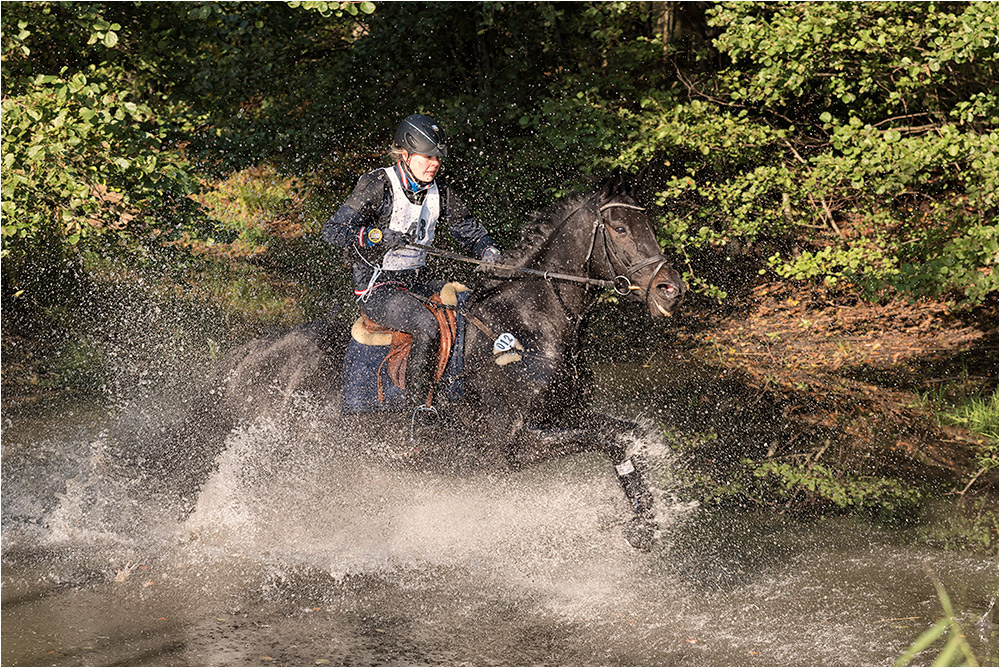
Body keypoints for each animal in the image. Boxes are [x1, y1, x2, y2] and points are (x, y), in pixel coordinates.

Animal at [143, 175, 688, 552]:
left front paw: (646, 523)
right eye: (620, 228)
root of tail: (250, 356)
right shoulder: (514, 444)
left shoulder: (566, 415)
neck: (530, 323)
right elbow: (611, 438)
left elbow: (625, 434)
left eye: (649, 226)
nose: (670, 290)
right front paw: (644, 525)